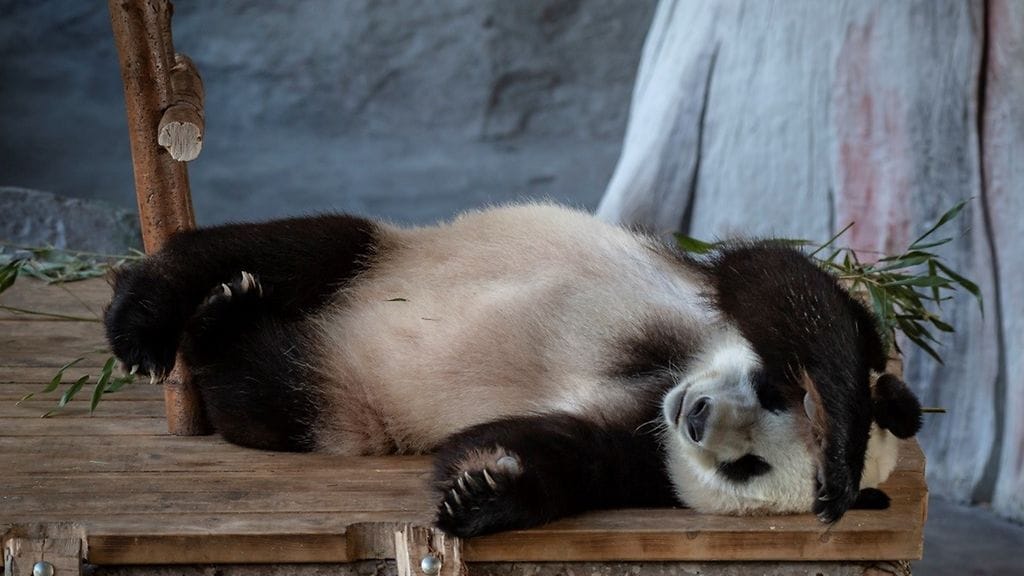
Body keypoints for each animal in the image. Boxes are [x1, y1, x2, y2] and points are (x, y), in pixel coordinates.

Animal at [103, 203, 922, 538]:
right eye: (767, 390)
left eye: (747, 467)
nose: (697, 418)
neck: (664, 381)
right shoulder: (697, 298)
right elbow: (775, 285)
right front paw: (842, 443)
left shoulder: (644, 451)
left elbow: (560, 453)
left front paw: (481, 491)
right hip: (387, 253)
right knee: (296, 246)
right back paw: (152, 315)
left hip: (343, 399)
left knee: (271, 391)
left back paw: (225, 330)